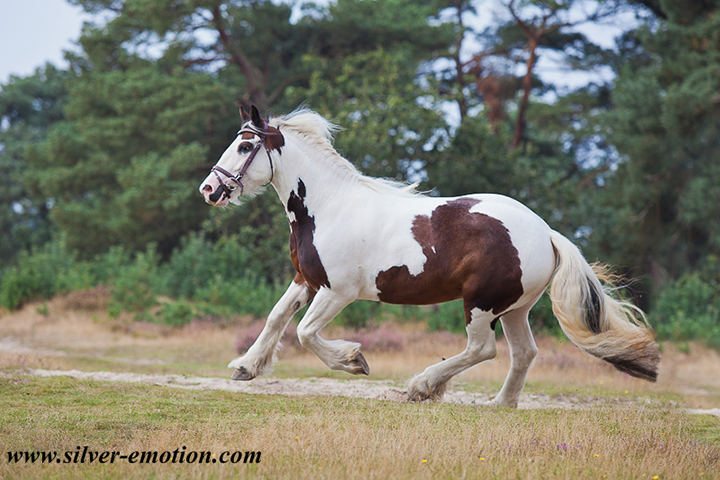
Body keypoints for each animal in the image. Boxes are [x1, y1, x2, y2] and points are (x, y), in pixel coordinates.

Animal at [200, 106, 660, 408]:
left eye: (245, 145)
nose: (209, 189)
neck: (329, 207)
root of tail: (546, 233)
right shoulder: (307, 280)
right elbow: (277, 317)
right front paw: (246, 367)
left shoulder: (337, 291)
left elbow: (306, 333)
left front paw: (354, 360)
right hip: (515, 308)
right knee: (524, 353)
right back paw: (499, 404)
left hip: (481, 303)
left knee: (482, 349)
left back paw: (421, 387)